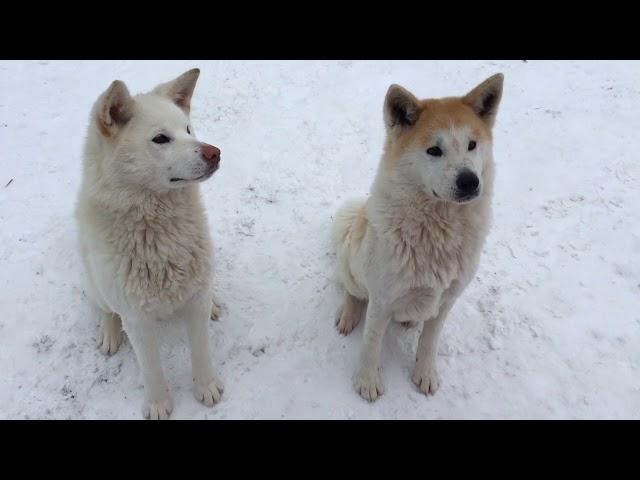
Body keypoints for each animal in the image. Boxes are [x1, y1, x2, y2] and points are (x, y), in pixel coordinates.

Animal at [76, 69, 225, 418]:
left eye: (188, 129)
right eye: (161, 139)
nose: (214, 152)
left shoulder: (195, 298)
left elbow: (201, 349)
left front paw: (205, 386)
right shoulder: (136, 318)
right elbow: (152, 367)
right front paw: (158, 403)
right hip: (97, 287)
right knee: (106, 310)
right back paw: (109, 333)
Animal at [332, 72, 502, 402]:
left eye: (472, 145)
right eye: (434, 150)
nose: (470, 181)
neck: (438, 232)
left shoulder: (446, 300)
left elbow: (429, 342)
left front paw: (425, 374)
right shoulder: (382, 298)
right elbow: (371, 344)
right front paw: (367, 382)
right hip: (352, 267)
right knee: (352, 292)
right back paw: (348, 314)